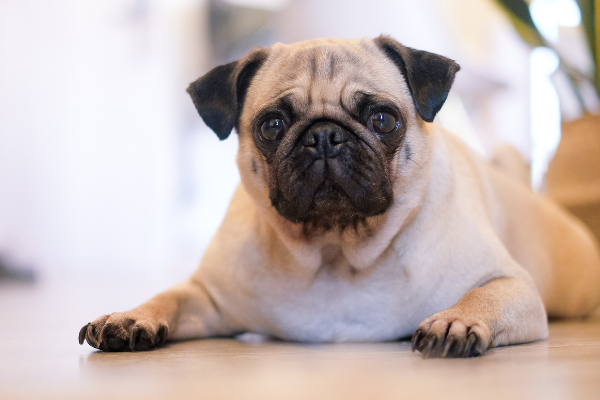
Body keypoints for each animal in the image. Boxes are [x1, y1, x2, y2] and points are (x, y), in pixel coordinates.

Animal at [78, 36, 600, 358]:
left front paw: (455, 321)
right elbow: (169, 296)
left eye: (383, 119)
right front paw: (131, 318)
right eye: (272, 126)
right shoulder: (209, 297)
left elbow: (481, 296)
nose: (325, 137)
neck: (337, 252)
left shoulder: (512, 285)